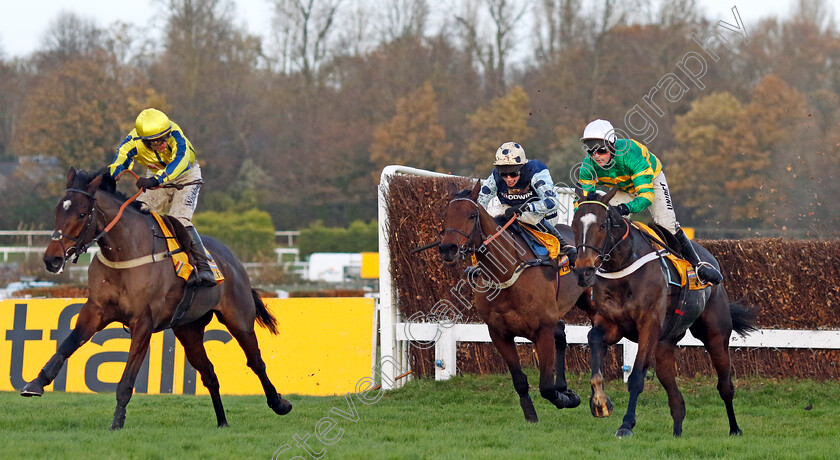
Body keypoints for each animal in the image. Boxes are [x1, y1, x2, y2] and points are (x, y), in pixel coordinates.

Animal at [20, 167, 292, 430]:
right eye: (58, 210)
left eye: (81, 214)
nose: (52, 259)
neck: (125, 251)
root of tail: (233, 259)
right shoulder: (96, 310)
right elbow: (67, 345)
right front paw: (36, 383)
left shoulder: (143, 323)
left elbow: (127, 380)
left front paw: (117, 423)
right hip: (189, 329)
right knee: (209, 374)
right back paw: (222, 421)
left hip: (239, 318)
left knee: (256, 361)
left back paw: (279, 403)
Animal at [436, 181, 588, 422]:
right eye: (446, 214)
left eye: (472, 215)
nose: (447, 248)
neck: (506, 272)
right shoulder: (499, 333)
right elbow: (519, 380)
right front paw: (531, 414)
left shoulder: (542, 329)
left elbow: (546, 386)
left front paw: (567, 398)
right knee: (562, 334)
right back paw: (563, 386)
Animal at [572, 188, 760, 438]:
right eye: (574, 225)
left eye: (603, 225)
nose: (583, 270)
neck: (623, 268)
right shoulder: (610, 325)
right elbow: (593, 341)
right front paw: (600, 403)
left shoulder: (649, 326)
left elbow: (637, 377)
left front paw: (626, 424)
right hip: (664, 346)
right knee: (675, 396)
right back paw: (677, 432)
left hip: (715, 335)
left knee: (725, 386)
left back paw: (735, 429)